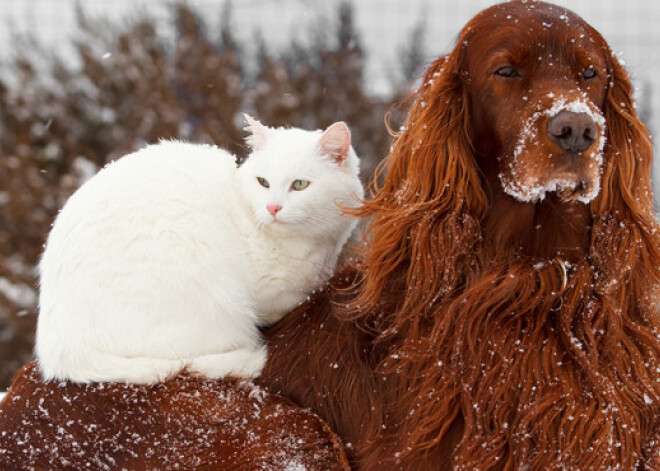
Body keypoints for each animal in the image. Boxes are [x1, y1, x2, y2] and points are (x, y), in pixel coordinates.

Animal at [36, 114, 364, 384]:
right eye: (263, 182)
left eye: (300, 185)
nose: (272, 207)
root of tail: (59, 349)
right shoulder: (273, 295)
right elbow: (296, 297)